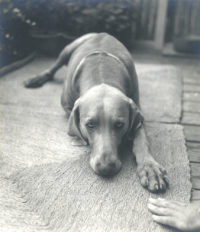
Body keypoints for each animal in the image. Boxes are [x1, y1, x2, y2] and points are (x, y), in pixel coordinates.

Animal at [24, 32, 169, 192]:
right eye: (90, 124)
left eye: (119, 125)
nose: (106, 168)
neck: (102, 74)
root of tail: (100, 33)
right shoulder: (67, 106)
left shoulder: (138, 112)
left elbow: (141, 140)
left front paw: (150, 168)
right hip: (68, 48)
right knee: (54, 67)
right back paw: (36, 78)